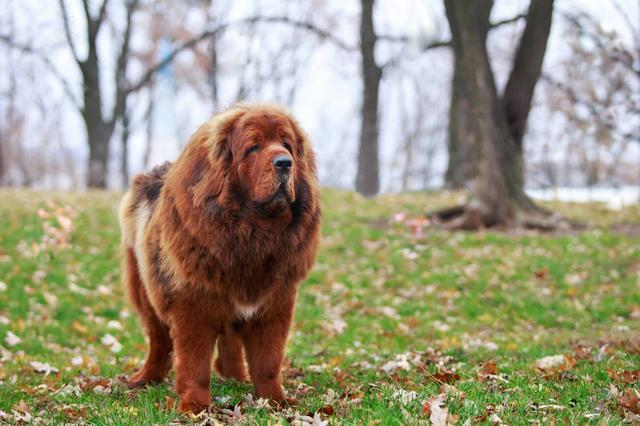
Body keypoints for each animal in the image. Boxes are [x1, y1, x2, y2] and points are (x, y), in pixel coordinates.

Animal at [117, 103, 320, 412]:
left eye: (287, 145)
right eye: (254, 147)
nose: (285, 163)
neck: (253, 235)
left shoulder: (275, 305)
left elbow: (268, 361)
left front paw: (275, 401)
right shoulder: (192, 305)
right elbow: (195, 363)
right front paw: (195, 406)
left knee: (230, 341)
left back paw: (235, 376)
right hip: (145, 291)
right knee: (159, 341)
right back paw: (145, 378)